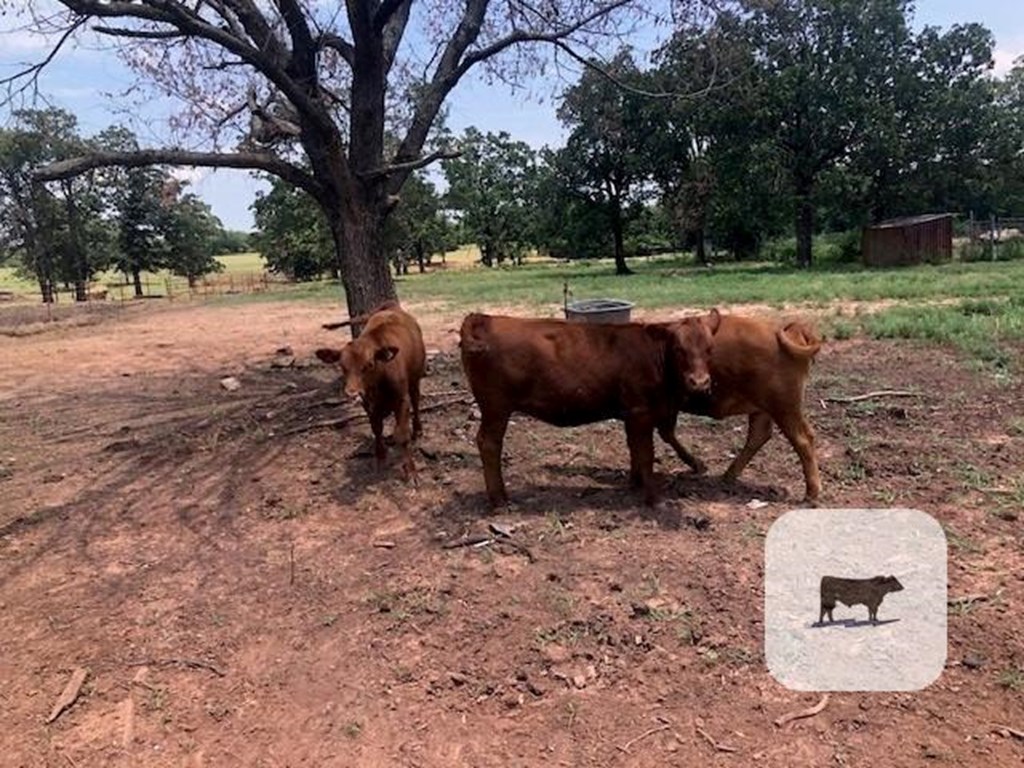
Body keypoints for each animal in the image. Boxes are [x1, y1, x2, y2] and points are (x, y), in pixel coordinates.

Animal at [311, 303, 423, 479]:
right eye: (342, 366)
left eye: (370, 364)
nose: (352, 393)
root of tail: (392, 307)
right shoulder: (368, 405)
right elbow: (376, 429)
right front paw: (381, 458)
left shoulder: (401, 399)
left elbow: (403, 434)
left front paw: (411, 470)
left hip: (415, 377)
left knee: (416, 401)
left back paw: (418, 430)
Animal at [458, 309, 720, 507]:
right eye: (679, 349)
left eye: (709, 349)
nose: (699, 382)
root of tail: (483, 318)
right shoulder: (640, 411)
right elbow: (646, 453)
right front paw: (654, 497)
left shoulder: (637, 414)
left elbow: (639, 446)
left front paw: (636, 482)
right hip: (495, 407)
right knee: (489, 444)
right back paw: (499, 499)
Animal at [655, 313, 823, 505]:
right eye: (678, 349)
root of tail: (790, 331)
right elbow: (666, 433)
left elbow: (665, 434)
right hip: (764, 409)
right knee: (759, 436)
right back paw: (729, 475)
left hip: (784, 408)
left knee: (802, 440)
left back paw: (811, 493)